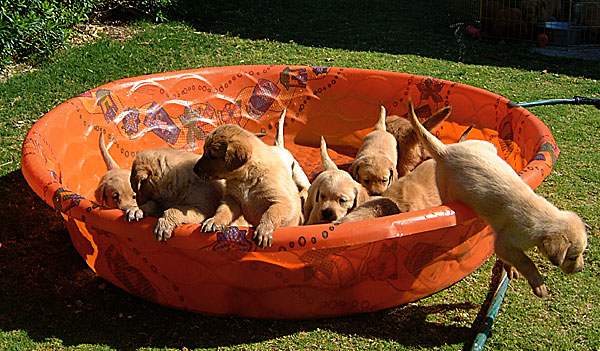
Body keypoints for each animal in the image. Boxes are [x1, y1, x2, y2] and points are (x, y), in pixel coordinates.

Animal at [408, 100, 584, 298]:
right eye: (572, 256)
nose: (580, 269)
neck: (546, 219)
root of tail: (445, 150)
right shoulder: (505, 243)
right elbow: (526, 261)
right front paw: (539, 284)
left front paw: (510, 269)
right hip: (447, 190)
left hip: (486, 146)